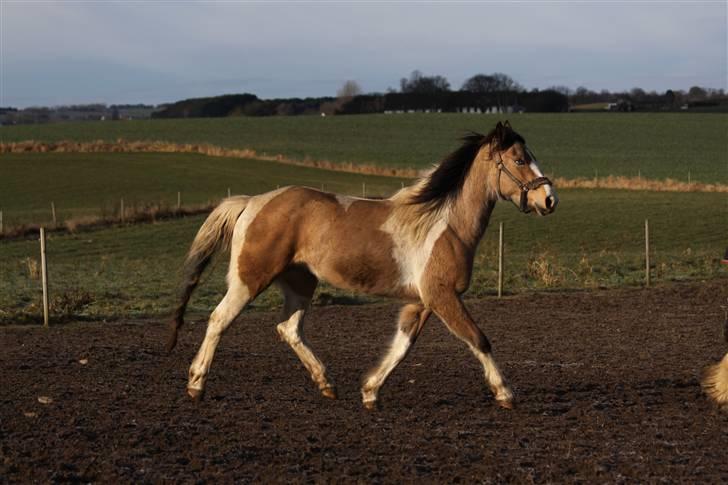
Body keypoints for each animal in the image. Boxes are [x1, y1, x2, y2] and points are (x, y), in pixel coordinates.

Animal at [168, 121, 560, 408]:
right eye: (520, 160)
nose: (549, 199)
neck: (443, 223)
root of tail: (251, 203)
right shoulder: (443, 296)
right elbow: (479, 339)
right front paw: (505, 393)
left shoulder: (420, 302)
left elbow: (402, 347)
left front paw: (370, 391)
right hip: (250, 278)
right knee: (219, 319)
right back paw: (196, 385)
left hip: (301, 283)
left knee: (289, 329)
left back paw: (327, 384)